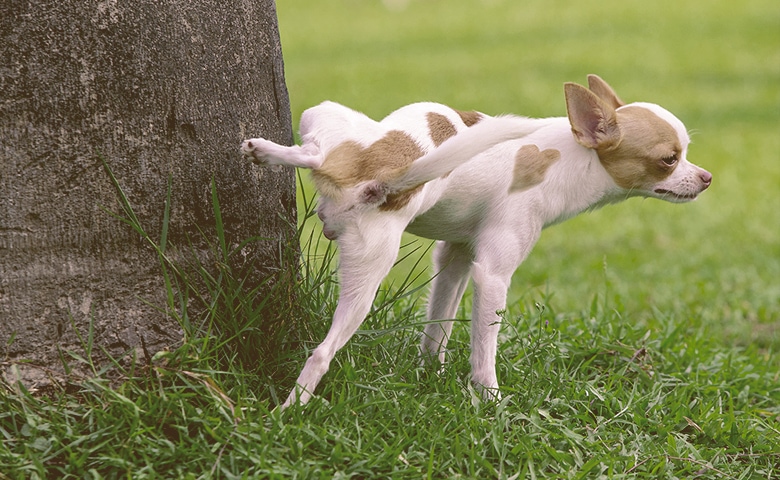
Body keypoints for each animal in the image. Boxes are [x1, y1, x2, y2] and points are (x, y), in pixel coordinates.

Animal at [242, 76, 712, 408]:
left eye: (686, 154)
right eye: (669, 159)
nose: (707, 177)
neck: (568, 156)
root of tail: (383, 177)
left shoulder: (456, 259)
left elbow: (438, 328)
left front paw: (429, 377)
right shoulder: (492, 276)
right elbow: (484, 351)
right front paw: (490, 402)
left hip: (355, 222)